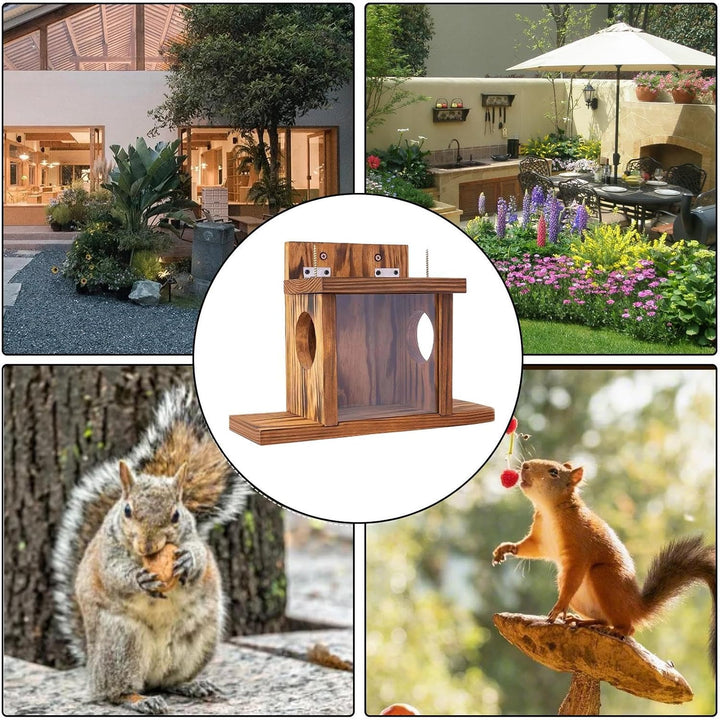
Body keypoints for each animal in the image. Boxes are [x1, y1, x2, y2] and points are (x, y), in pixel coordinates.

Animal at [52, 386, 251, 715]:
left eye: (176, 515)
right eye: (128, 511)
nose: (148, 545)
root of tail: (93, 668)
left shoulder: (193, 537)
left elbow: (201, 556)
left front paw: (187, 562)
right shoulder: (107, 553)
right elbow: (114, 573)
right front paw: (138, 578)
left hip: (200, 640)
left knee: (169, 682)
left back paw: (192, 685)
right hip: (121, 643)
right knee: (115, 692)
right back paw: (138, 700)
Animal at [492, 459, 716, 670]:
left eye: (553, 472)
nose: (525, 465)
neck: (549, 511)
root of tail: (635, 606)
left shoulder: (579, 546)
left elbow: (574, 575)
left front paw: (559, 607)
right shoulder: (541, 540)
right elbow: (529, 548)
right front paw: (506, 548)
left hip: (604, 578)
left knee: (628, 628)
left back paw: (612, 630)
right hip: (569, 586)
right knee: (605, 618)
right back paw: (583, 621)